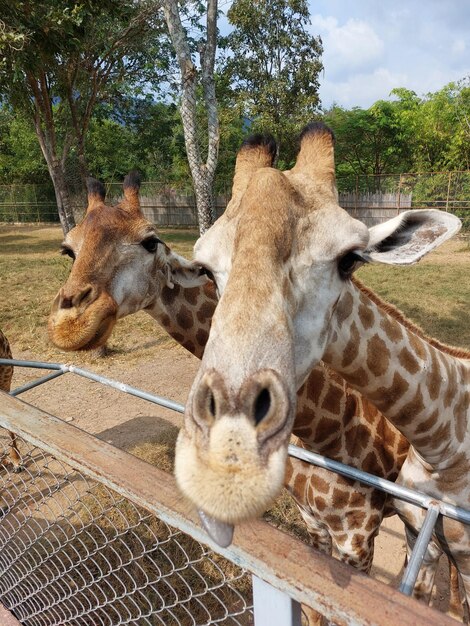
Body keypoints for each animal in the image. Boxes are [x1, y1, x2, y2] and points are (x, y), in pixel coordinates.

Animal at [48, 169, 456, 604]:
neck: (326, 430)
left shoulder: (358, 535)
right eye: (68, 250)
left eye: (150, 241)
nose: (71, 323)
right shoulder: (312, 521)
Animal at [177, 124, 470, 612]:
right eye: (204, 269)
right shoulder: (401, 531)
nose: (224, 465)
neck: (446, 446)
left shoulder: (372, 537)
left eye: (349, 259)